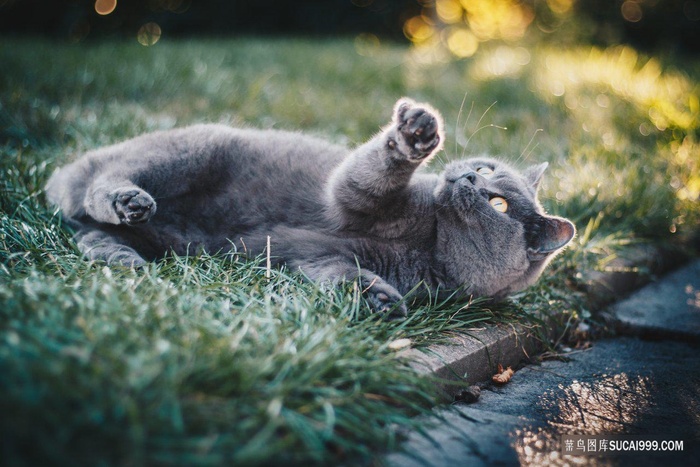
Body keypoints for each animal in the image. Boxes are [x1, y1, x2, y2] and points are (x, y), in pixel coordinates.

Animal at [47, 98, 576, 318]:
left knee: (88, 232)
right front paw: (415, 133)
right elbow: (364, 175)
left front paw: (380, 301)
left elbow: (340, 274)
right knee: (99, 184)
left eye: (500, 203)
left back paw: (124, 258)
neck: (429, 242)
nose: (466, 177)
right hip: (190, 151)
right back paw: (127, 200)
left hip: (170, 240)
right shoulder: (350, 198)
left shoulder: (322, 259)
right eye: (486, 168)